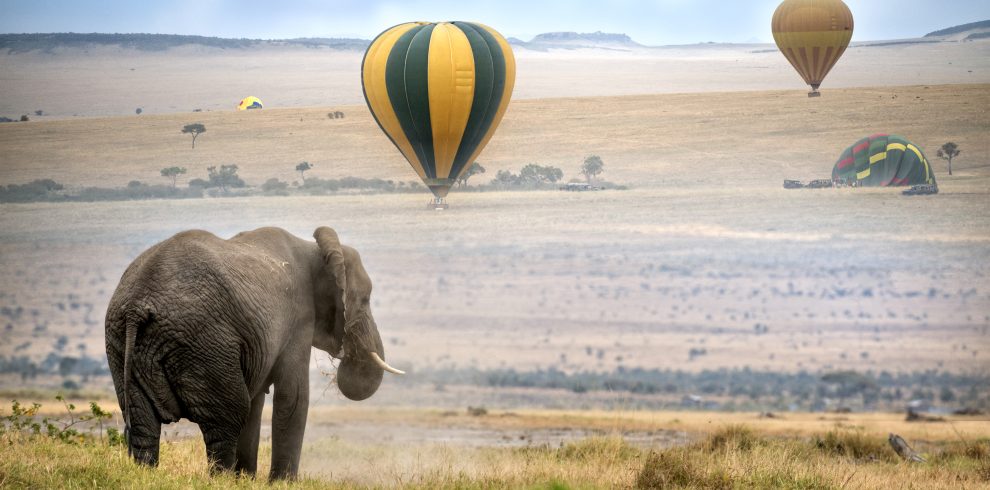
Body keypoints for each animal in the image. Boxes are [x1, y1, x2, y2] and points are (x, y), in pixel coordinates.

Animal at [104, 226, 403, 480]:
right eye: (365, 299)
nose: (347, 353)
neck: (315, 249)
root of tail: (137, 305)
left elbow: (257, 399)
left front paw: (246, 479)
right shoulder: (298, 319)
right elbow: (293, 397)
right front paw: (282, 483)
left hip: (121, 344)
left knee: (143, 422)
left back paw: (147, 475)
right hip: (204, 342)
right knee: (228, 415)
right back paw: (221, 479)